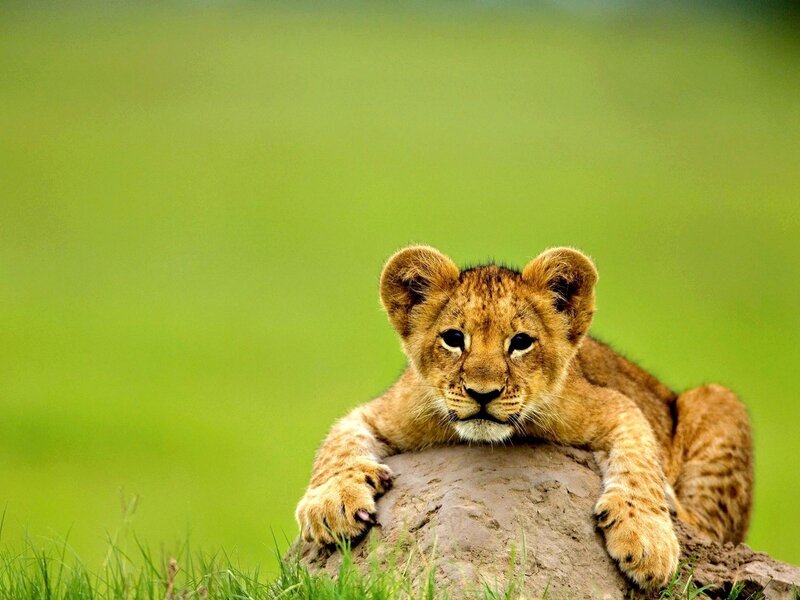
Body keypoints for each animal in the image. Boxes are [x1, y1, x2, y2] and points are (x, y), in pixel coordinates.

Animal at [295, 246, 753, 589]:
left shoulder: (614, 403)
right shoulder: (386, 410)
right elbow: (338, 443)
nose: (483, 393)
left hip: (718, 399)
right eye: (453, 339)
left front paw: (646, 538)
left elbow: (641, 464)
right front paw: (331, 504)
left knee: (708, 527)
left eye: (520, 343)